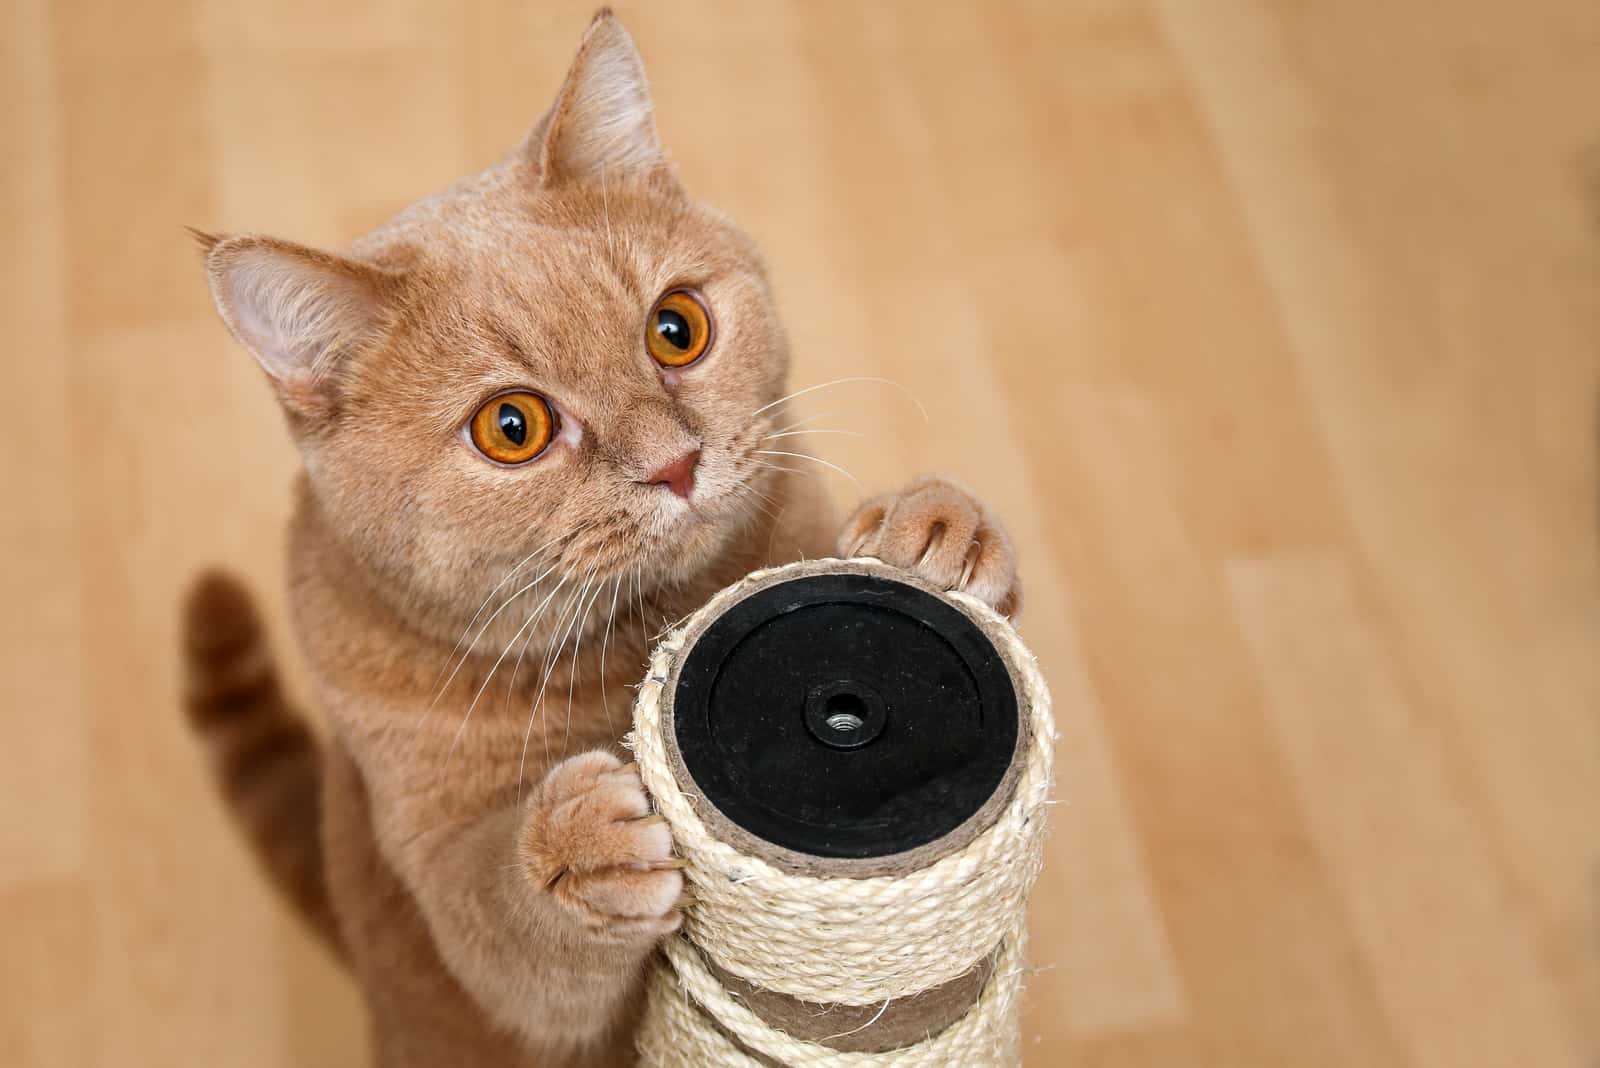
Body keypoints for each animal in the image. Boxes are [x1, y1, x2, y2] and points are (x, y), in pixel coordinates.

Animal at [178, 10, 1024, 1068]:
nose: (675, 464)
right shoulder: (440, 868)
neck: (640, 637)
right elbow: (501, 923)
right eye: (512, 428)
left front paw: (935, 522)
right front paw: (576, 850)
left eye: (677, 329)